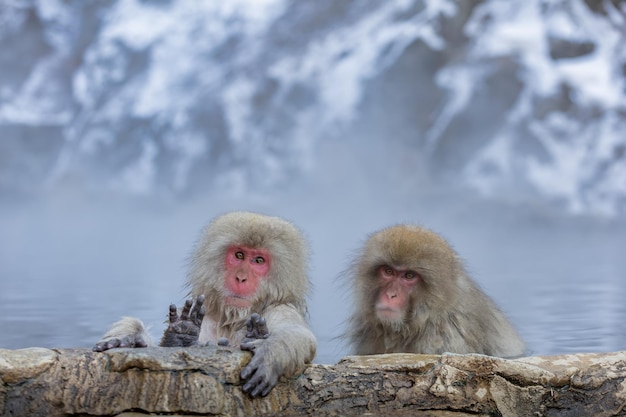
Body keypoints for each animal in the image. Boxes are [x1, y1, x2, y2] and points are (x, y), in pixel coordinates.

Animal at [94, 211, 316, 396]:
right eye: (239, 255)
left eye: (259, 261)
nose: (241, 278)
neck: (232, 319)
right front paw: (132, 338)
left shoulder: (282, 309)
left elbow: (300, 335)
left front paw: (271, 352)